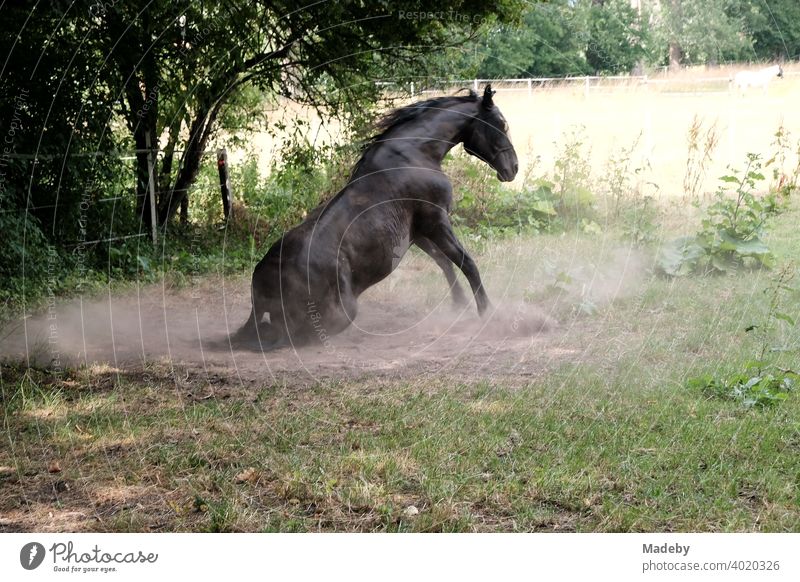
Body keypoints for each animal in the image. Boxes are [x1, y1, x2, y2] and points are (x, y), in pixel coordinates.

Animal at [238, 85, 520, 352]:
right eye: (501, 123)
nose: (513, 169)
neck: (416, 153)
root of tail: (263, 281)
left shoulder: (417, 232)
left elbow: (444, 263)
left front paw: (460, 305)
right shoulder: (436, 221)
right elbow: (465, 262)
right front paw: (486, 311)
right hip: (343, 312)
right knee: (298, 336)